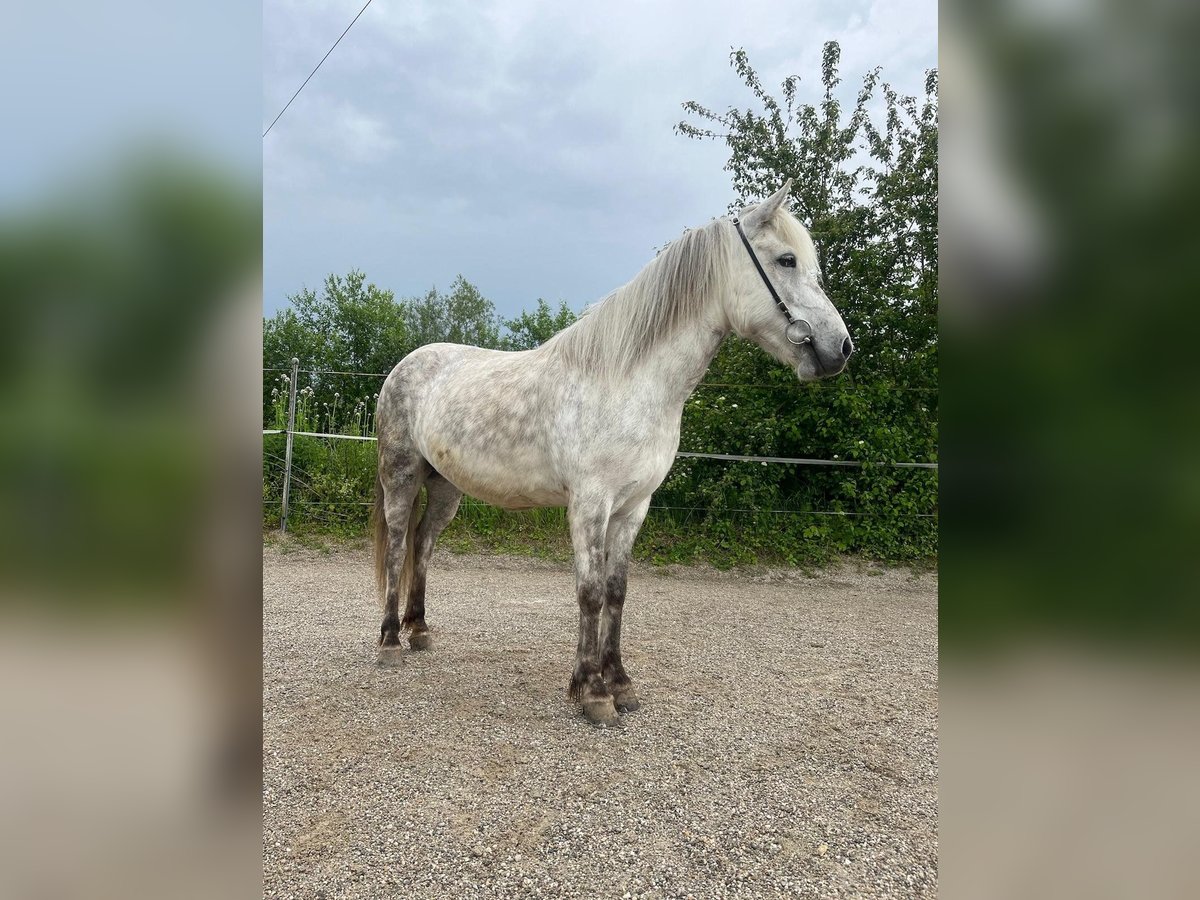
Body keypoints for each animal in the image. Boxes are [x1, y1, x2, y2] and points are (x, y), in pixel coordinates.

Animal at [374, 183, 854, 724]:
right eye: (786, 259)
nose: (840, 349)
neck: (629, 382)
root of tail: (407, 365)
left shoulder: (633, 507)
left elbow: (618, 592)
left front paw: (620, 684)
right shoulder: (589, 505)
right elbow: (590, 592)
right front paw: (591, 691)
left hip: (446, 489)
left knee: (423, 545)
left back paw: (419, 631)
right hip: (401, 475)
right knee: (397, 546)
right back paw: (389, 642)